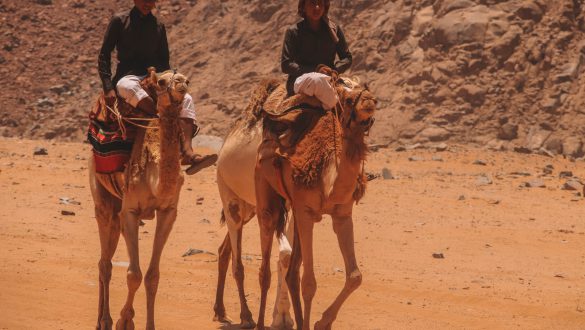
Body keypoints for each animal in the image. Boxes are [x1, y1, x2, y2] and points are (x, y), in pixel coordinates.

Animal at [89, 68, 189, 328]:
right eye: (162, 82)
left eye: (187, 80)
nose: (182, 84)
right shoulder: (131, 210)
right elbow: (133, 274)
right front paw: (124, 321)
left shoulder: (168, 212)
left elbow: (152, 276)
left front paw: (143, 323)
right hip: (102, 201)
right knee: (104, 263)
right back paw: (103, 320)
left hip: (118, 210)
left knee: (110, 253)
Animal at [212, 78, 294, 328]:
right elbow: (282, 256)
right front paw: (277, 318)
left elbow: (287, 255)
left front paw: (284, 317)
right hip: (230, 198)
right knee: (237, 263)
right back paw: (246, 316)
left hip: (249, 208)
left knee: (224, 250)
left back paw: (220, 310)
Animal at [253, 76, 376, 328]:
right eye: (347, 99)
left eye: (367, 88)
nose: (370, 100)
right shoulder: (306, 212)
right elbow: (309, 283)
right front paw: (317, 322)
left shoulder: (342, 214)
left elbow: (355, 276)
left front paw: (322, 323)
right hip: (266, 198)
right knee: (265, 270)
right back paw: (259, 323)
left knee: (291, 272)